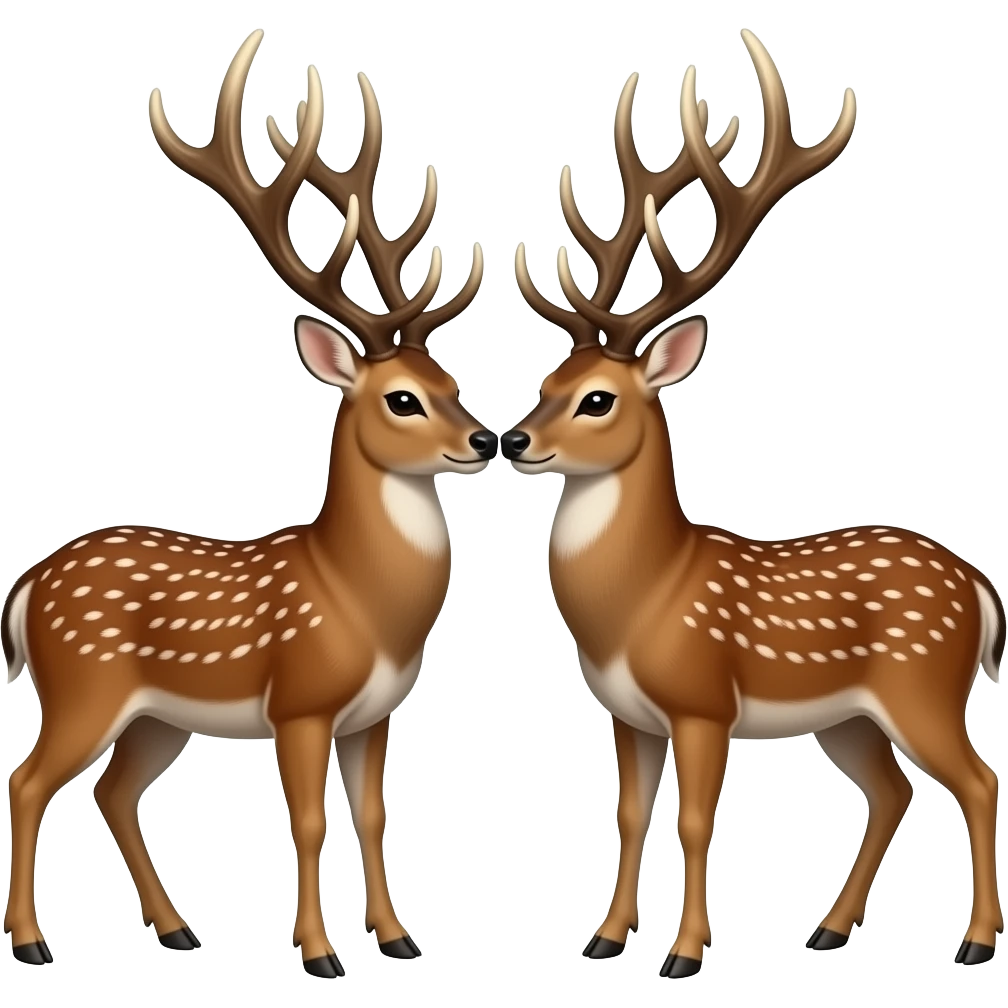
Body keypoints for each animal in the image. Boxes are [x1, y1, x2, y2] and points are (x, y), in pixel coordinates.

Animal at [2, 30, 493, 977]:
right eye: (402, 400)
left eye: (451, 384)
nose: (486, 441)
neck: (363, 602)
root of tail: (28, 587)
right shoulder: (298, 700)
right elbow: (307, 821)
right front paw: (320, 952)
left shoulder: (374, 713)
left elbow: (372, 814)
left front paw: (397, 937)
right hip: (82, 685)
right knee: (28, 780)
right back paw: (32, 940)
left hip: (157, 716)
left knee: (113, 790)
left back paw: (177, 928)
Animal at [503, 30, 1005, 978]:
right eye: (546, 385)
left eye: (598, 400)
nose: (512, 441)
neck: (639, 602)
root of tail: (980, 589)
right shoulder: (627, 713)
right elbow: (630, 817)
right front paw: (605, 939)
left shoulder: (705, 700)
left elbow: (697, 821)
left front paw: (684, 954)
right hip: (847, 716)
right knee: (893, 790)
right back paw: (828, 928)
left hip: (923, 684)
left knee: (977, 779)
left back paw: (976, 941)